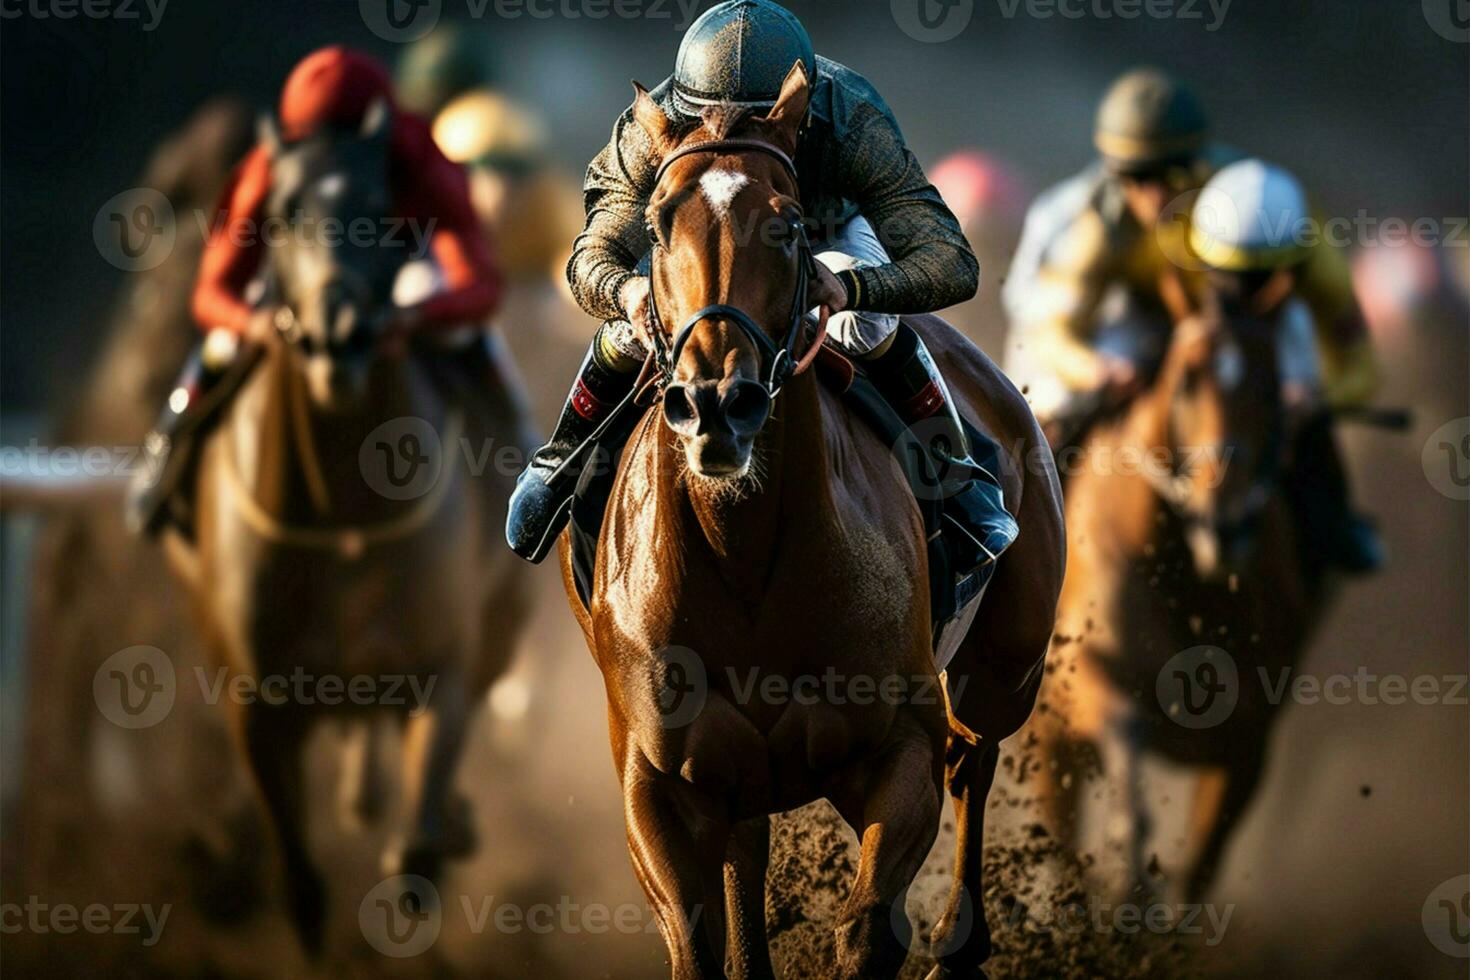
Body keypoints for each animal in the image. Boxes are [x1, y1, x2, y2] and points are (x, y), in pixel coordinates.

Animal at [163, 103, 532, 952]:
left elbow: (414, 860)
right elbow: (300, 885)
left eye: (379, 207)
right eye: (280, 212)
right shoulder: (257, 699)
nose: (338, 337)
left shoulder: (442, 668)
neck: (345, 513)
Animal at [555, 65, 1064, 975]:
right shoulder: (659, 782)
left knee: (974, 755)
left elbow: (869, 927)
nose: (717, 404)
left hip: (1004, 665)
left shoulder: (898, 749)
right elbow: (697, 934)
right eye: (657, 222)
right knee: (749, 852)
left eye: (787, 225)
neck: (744, 558)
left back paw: (959, 938)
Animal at [1029, 285, 1340, 905]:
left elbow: (1198, 867)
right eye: (1188, 378)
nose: (1226, 524)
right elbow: (1129, 800)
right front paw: (1128, 889)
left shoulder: (1248, 743)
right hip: (1049, 742)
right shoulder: (1097, 680)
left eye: (1271, 381)